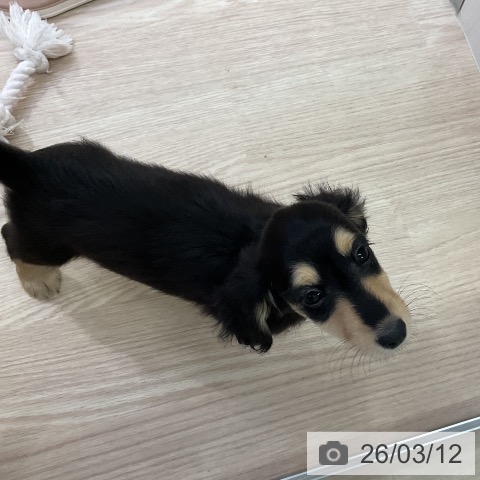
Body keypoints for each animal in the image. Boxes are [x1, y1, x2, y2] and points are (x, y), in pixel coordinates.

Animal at [0, 140, 410, 354]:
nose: (396, 335)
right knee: (11, 236)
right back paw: (39, 281)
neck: (248, 238)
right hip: (47, 244)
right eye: (311, 296)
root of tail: (28, 166)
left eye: (361, 253)